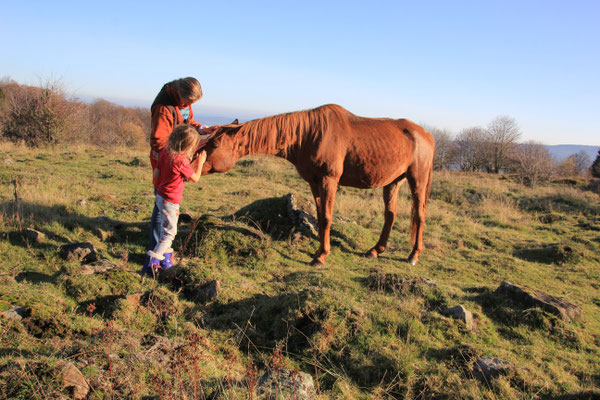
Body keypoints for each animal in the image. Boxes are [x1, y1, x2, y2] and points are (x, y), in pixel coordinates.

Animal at [199, 103, 434, 266]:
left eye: (216, 144)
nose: (194, 163)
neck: (308, 135)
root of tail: (427, 135)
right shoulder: (314, 183)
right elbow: (320, 218)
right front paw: (319, 252)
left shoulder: (329, 180)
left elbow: (327, 218)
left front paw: (321, 257)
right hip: (392, 182)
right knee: (390, 215)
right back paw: (375, 250)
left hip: (418, 180)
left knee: (420, 215)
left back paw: (413, 255)